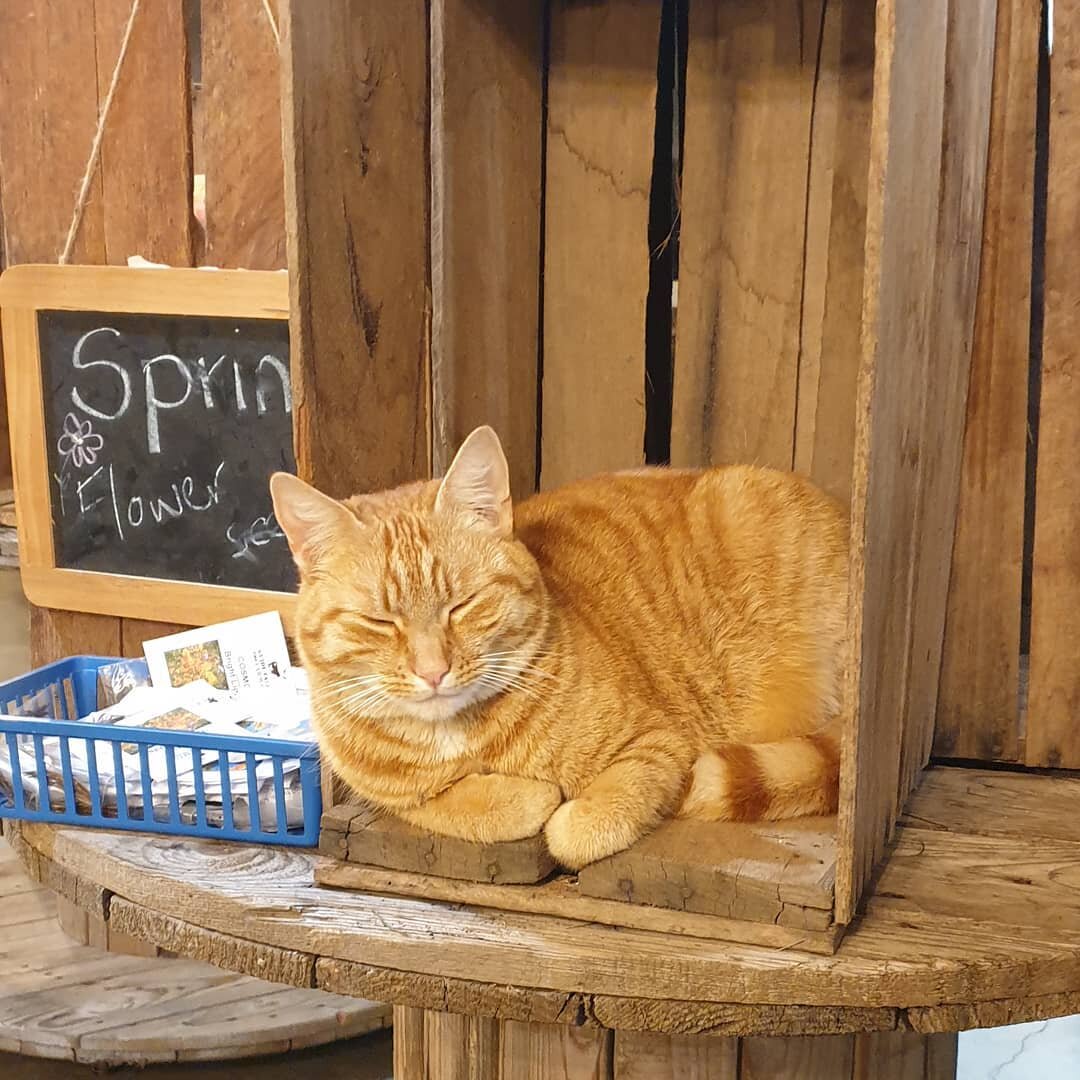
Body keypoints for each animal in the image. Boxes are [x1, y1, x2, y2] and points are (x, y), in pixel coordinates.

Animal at [270, 423, 842, 868]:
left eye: (463, 605)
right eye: (379, 621)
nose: (433, 671)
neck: (461, 734)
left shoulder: (658, 743)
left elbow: (591, 820)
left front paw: (564, 808)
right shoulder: (389, 793)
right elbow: (456, 802)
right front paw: (520, 793)